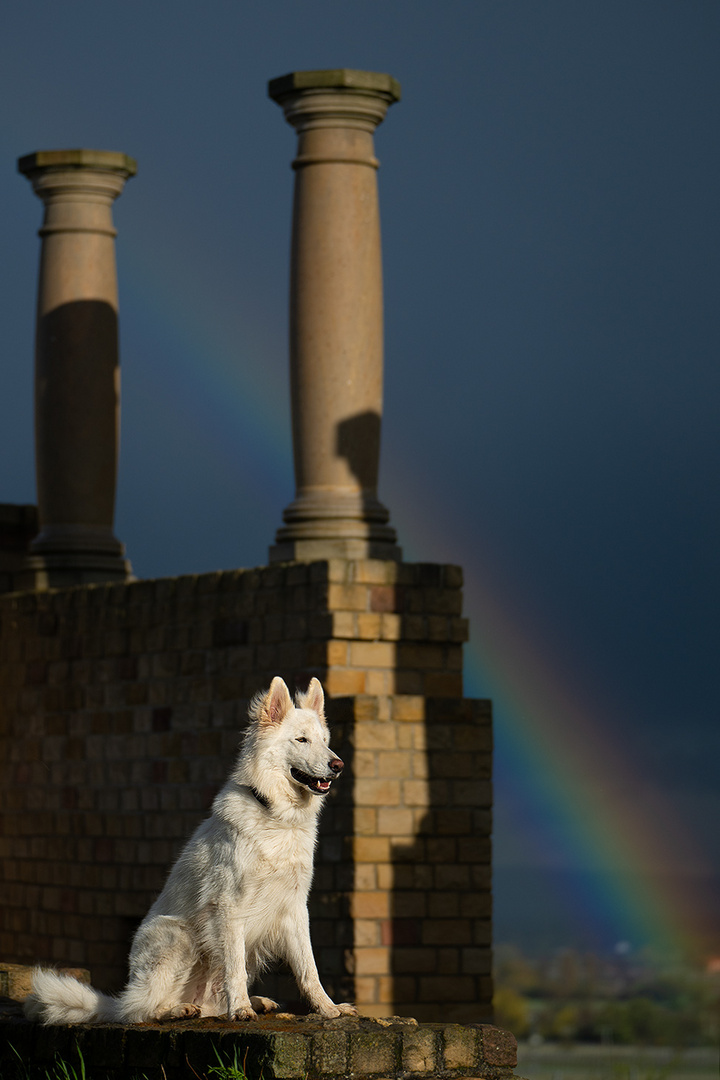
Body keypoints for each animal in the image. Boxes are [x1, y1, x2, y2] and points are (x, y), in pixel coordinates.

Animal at [23, 678, 356, 1023]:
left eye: (325, 741)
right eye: (301, 739)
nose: (338, 765)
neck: (276, 817)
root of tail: (118, 1002)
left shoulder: (295, 908)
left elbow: (308, 969)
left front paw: (328, 1008)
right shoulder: (229, 907)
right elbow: (234, 968)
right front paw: (240, 1009)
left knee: (207, 1006)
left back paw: (253, 1002)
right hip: (178, 935)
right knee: (142, 1009)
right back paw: (179, 1009)